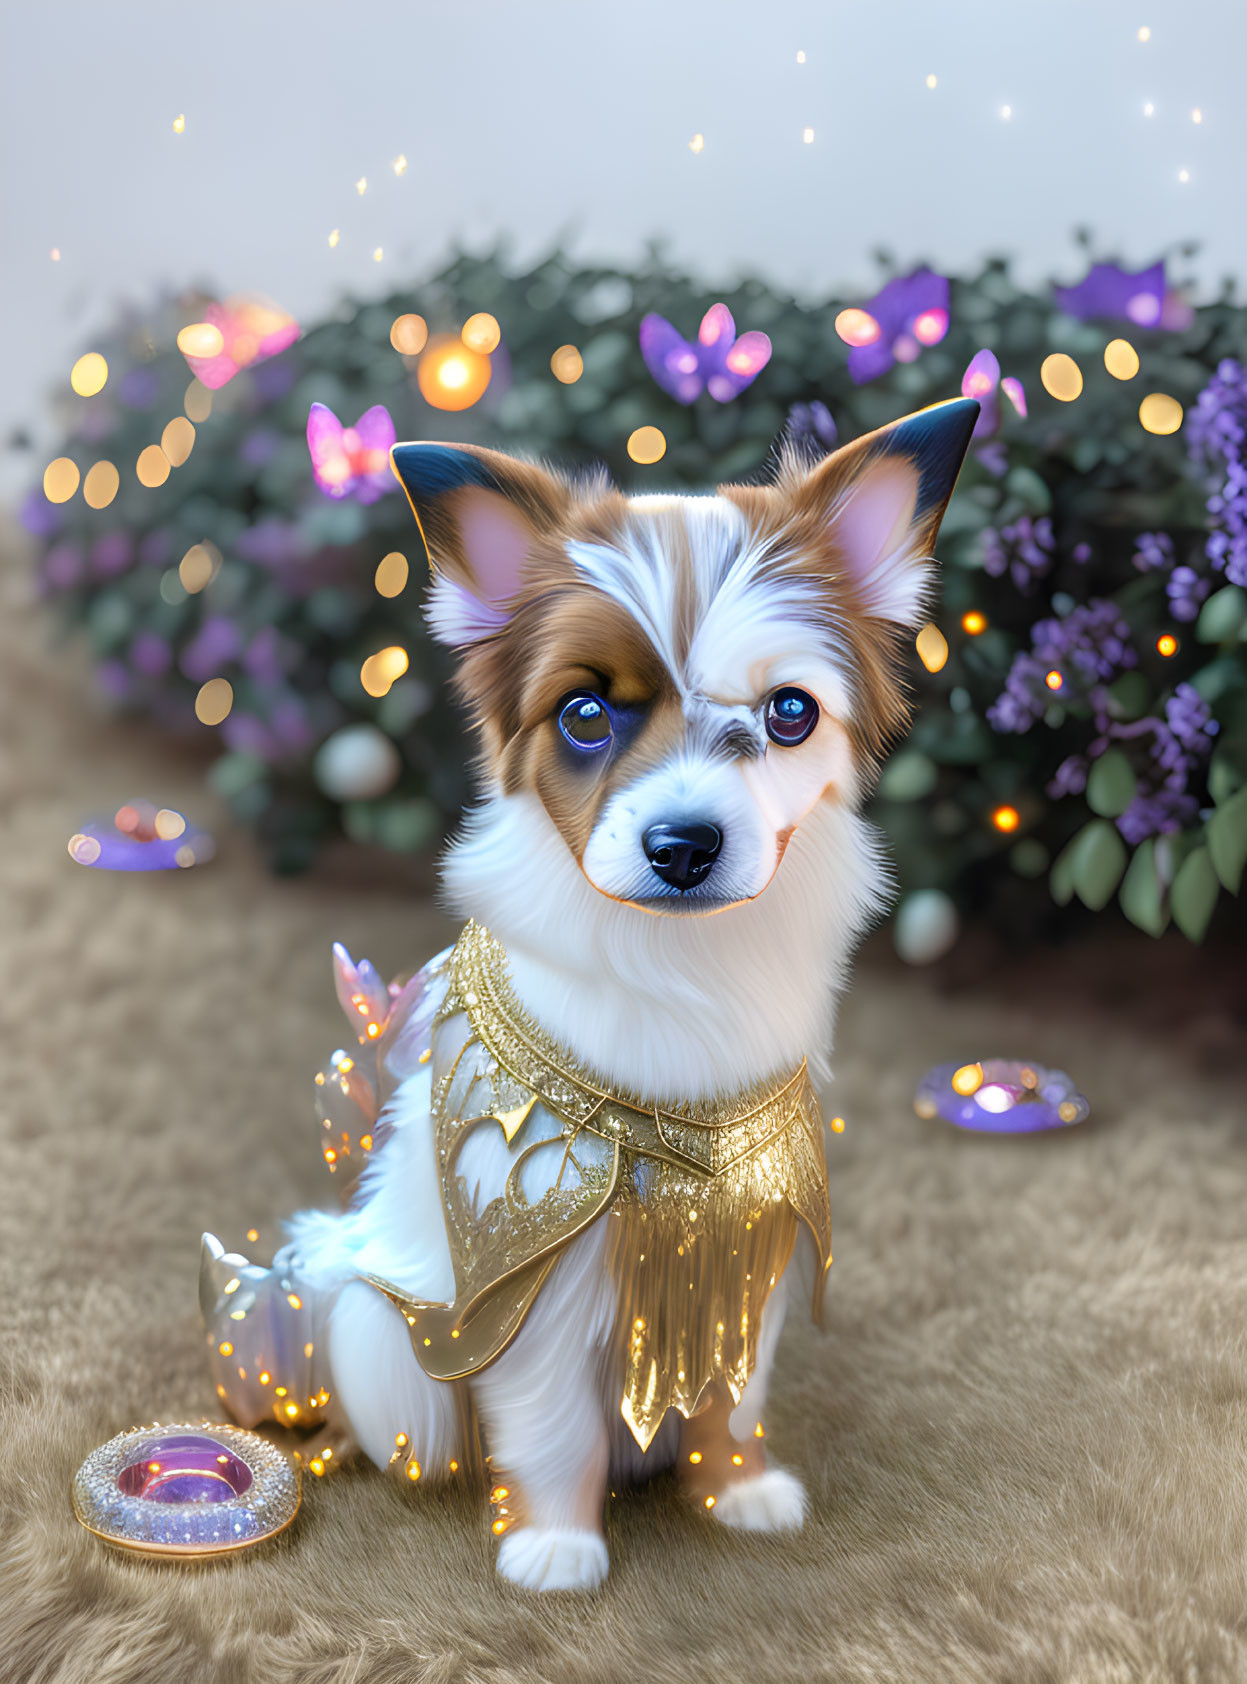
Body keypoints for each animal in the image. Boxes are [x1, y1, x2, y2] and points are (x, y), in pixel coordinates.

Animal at [199, 394, 977, 1589]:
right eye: (581, 716)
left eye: (789, 714)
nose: (683, 846)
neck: (680, 962)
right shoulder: (534, 1270)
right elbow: (554, 1419)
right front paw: (554, 1549)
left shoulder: (748, 1237)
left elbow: (731, 1390)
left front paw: (740, 1494)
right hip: (386, 1349)